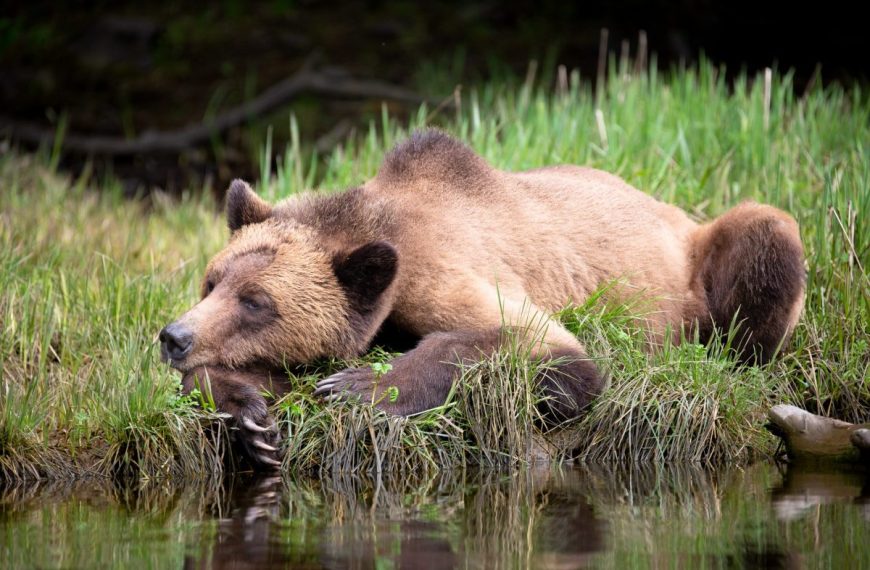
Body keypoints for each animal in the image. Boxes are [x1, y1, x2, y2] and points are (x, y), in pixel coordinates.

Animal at [159, 129, 806, 468]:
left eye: (257, 301)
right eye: (213, 281)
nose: (174, 337)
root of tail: (673, 209)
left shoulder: (444, 271)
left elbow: (542, 348)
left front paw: (358, 387)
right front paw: (250, 417)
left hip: (702, 260)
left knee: (765, 237)